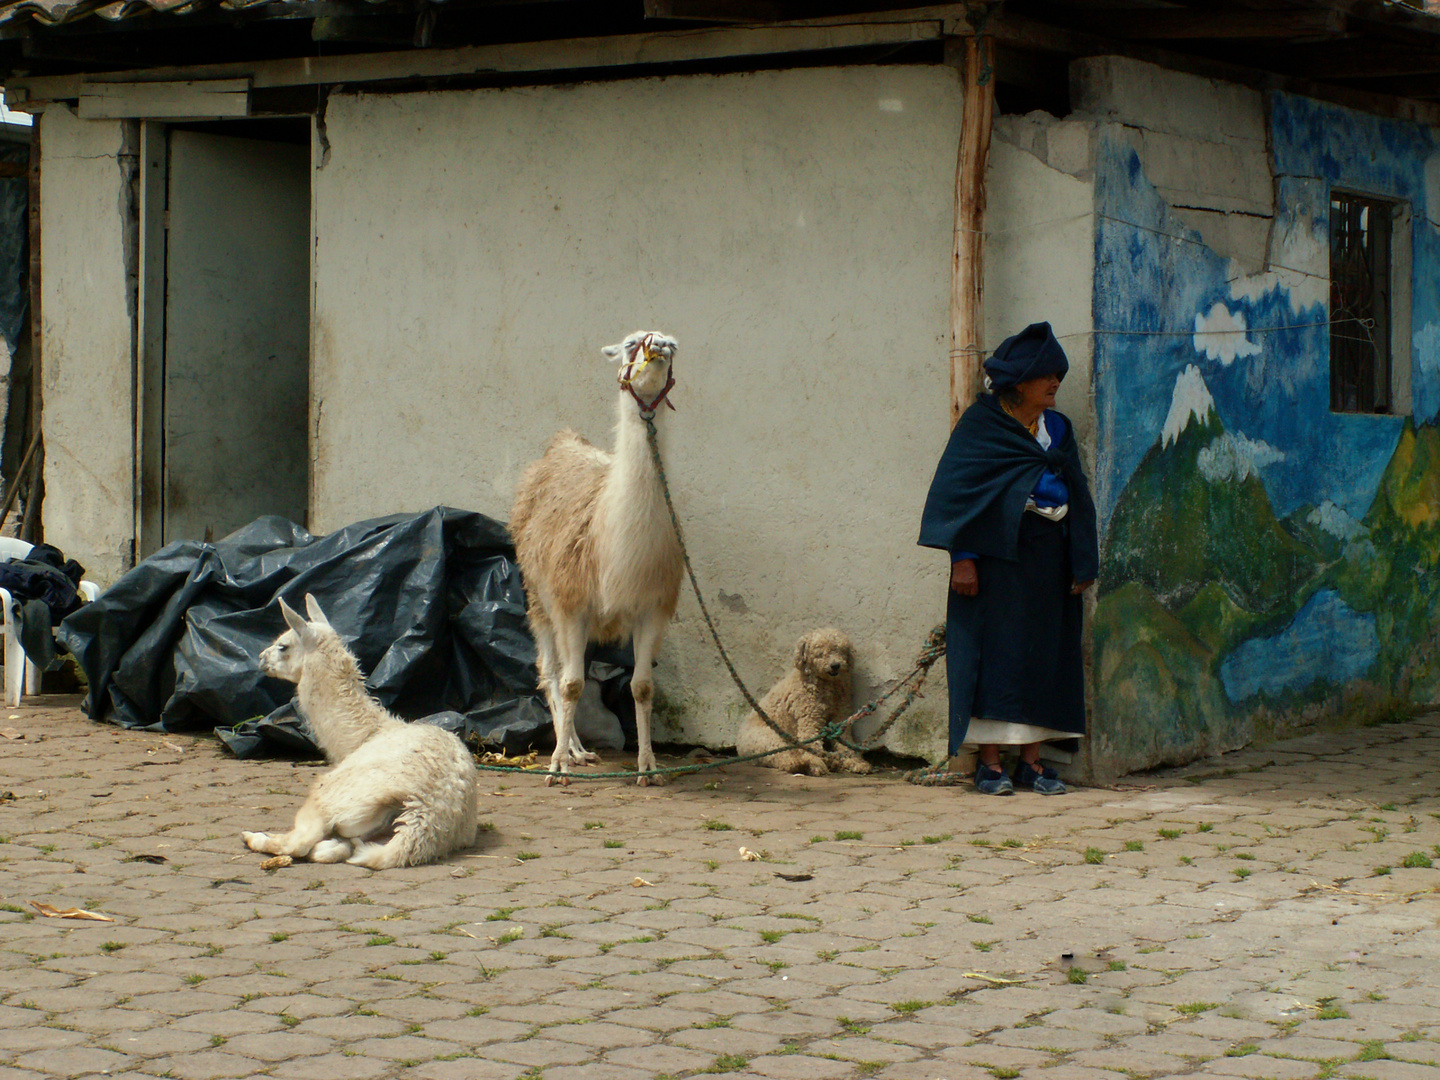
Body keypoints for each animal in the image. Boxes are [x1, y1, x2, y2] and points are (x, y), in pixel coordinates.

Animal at [240, 596, 478, 875]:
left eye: (283, 646)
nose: (260, 658)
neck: (365, 735)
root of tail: (426, 810)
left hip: (334, 794)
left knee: (299, 843)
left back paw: (253, 837)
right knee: (343, 849)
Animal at [731, 624, 864, 777]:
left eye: (840, 649)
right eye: (819, 652)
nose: (835, 665)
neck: (826, 684)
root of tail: (739, 742)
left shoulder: (841, 717)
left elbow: (846, 742)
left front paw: (856, 762)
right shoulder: (809, 719)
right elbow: (811, 743)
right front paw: (816, 763)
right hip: (768, 739)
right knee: (781, 757)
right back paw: (801, 764)